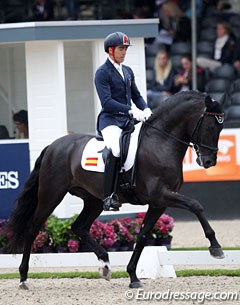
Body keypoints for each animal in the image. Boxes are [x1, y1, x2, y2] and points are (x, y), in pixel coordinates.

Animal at [7, 89, 225, 288]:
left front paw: (133, 276)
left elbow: (143, 236)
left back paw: (105, 264)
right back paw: (23, 277)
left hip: (93, 201)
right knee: (32, 229)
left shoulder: (158, 203)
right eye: (210, 125)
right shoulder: (160, 195)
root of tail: (52, 146)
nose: (209, 162)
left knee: (79, 227)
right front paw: (216, 248)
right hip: (51, 195)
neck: (161, 142)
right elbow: (195, 205)